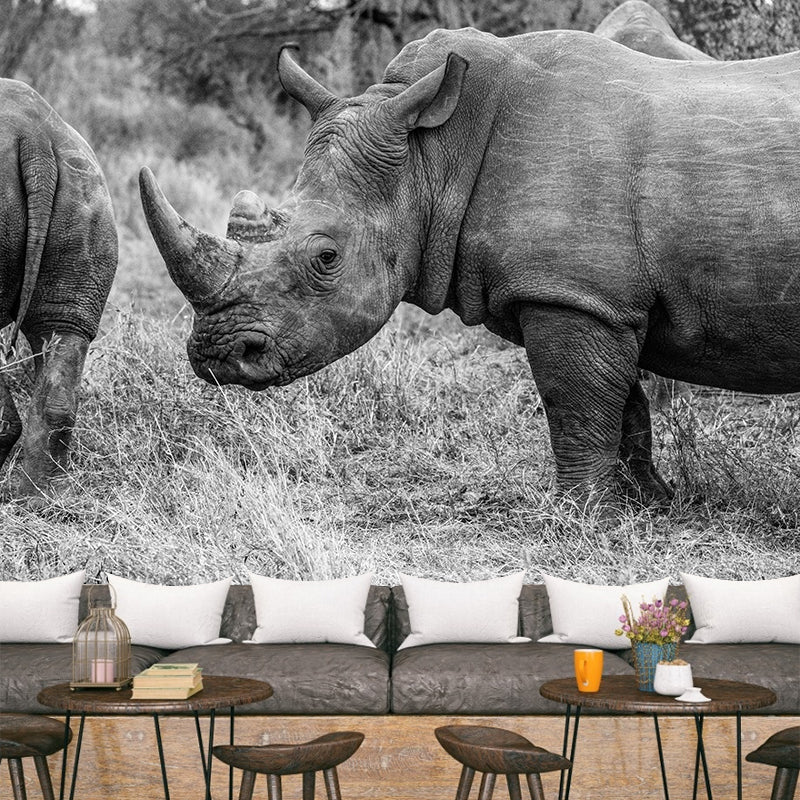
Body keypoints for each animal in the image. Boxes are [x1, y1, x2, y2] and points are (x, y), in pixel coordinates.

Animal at [140, 26, 800, 506]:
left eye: (326, 257)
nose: (219, 356)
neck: (432, 157)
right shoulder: (597, 297)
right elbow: (624, 402)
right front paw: (650, 503)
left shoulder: (569, 293)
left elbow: (577, 403)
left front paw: (583, 517)